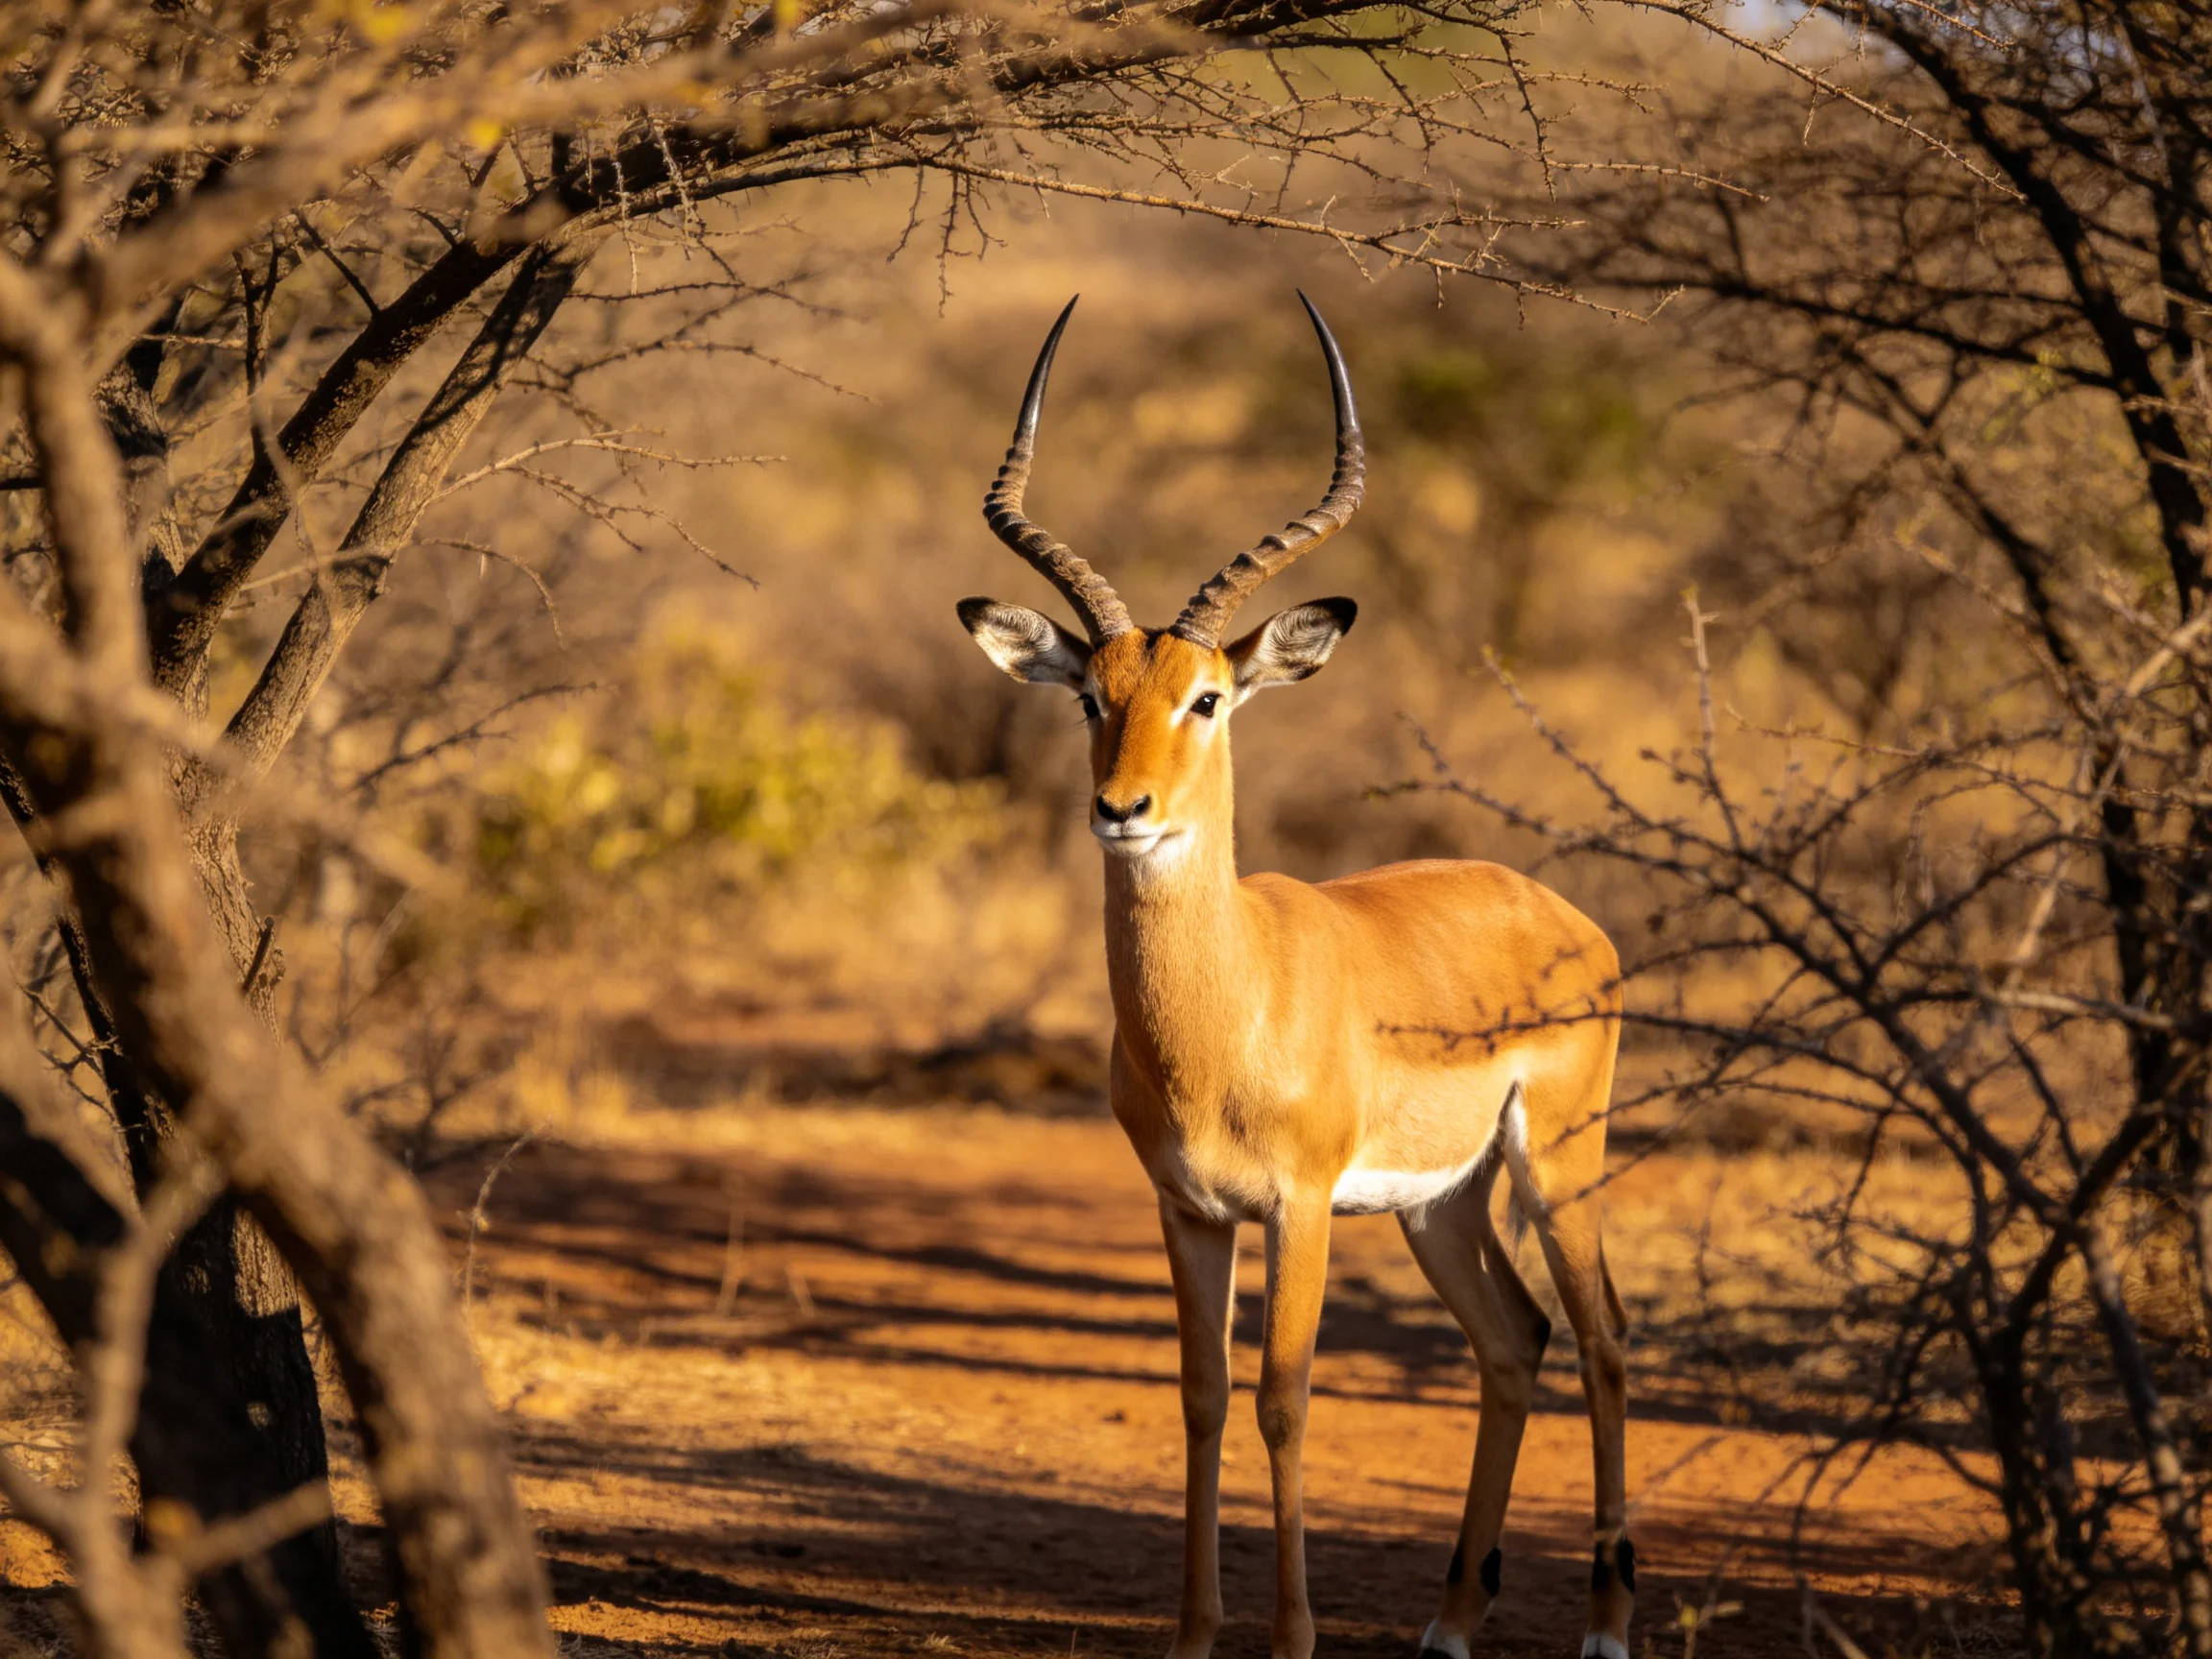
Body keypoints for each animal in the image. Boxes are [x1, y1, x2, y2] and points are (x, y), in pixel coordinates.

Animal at [956, 295, 1632, 1659]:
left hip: (1557, 1164)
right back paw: (1447, 1627)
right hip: (1444, 1204)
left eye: (1210, 697)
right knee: (1514, 1342)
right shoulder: (1190, 1210)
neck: (1224, 1015)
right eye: (1092, 697)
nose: (1123, 810)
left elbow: (1284, 1400)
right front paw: (1193, 1635)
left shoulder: (1300, 1208)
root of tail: (1564, 915)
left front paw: (1293, 1635)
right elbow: (1203, 1397)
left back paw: (1607, 1630)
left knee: (1601, 1348)